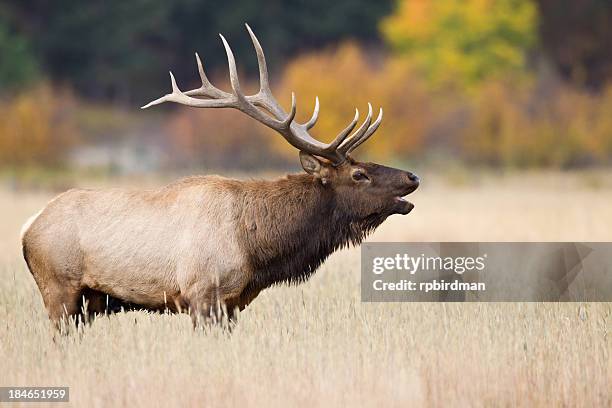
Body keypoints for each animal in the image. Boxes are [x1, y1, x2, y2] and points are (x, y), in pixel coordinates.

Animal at [21, 23, 418, 326]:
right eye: (359, 174)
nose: (412, 177)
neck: (256, 248)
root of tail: (29, 227)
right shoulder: (202, 293)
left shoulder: (231, 302)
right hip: (59, 288)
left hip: (89, 301)